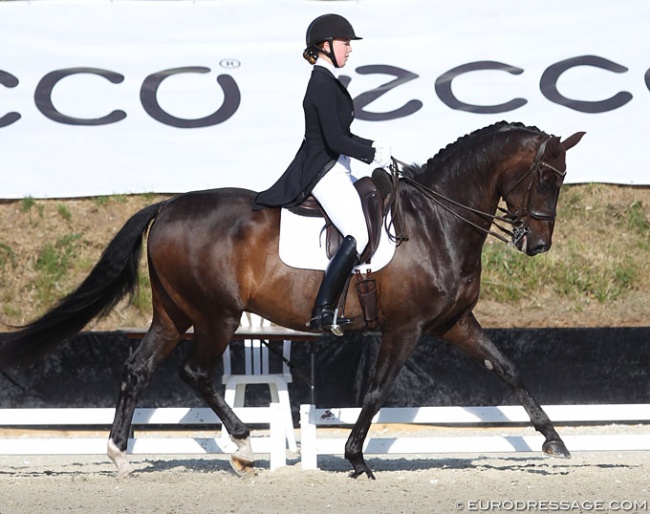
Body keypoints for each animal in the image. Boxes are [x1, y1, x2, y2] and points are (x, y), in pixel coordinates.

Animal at [0, 122, 584, 478]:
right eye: (546, 179)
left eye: (561, 179)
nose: (537, 244)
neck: (437, 221)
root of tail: (165, 206)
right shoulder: (405, 328)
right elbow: (377, 390)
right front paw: (355, 458)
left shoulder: (454, 321)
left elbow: (507, 368)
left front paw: (554, 442)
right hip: (216, 316)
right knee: (195, 372)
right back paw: (243, 447)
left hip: (174, 314)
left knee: (136, 369)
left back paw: (119, 454)